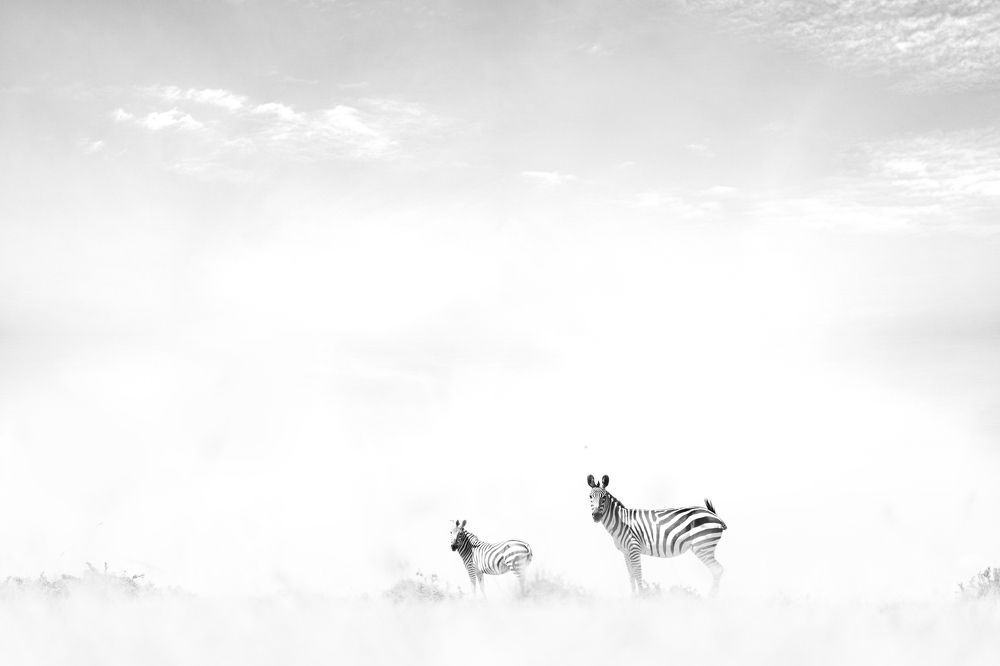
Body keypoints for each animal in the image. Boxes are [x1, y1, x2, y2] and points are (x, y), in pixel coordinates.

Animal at [587, 474, 727, 595]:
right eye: (590, 497)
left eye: (604, 497)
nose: (596, 516)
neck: (621, 521)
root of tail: (714, 515)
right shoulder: (625, 552)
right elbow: (631, 576)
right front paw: (633, 598)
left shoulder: (634, 548)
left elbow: (638, 574)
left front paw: (642, 597)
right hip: (705, 546)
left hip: (703, 546)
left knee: (717, 570)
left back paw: (712, 598)